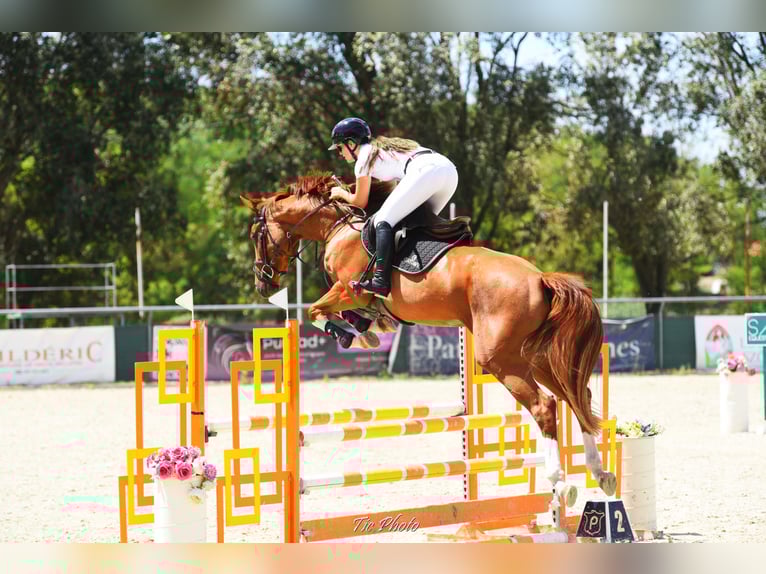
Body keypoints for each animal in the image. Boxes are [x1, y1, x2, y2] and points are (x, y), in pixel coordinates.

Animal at [241, 172, 617, 506]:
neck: (340, 229)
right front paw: (371, 330)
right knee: (576, 395)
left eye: (256, 233)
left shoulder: (348, 290)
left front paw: (358, 338)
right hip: (533, 357)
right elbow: (351, 316)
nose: (263, 284)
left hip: (500, 358)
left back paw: (561, 481)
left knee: (545, 405)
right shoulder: (354, 297)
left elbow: (315, 312)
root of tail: (540, 278)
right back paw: (600, 473)